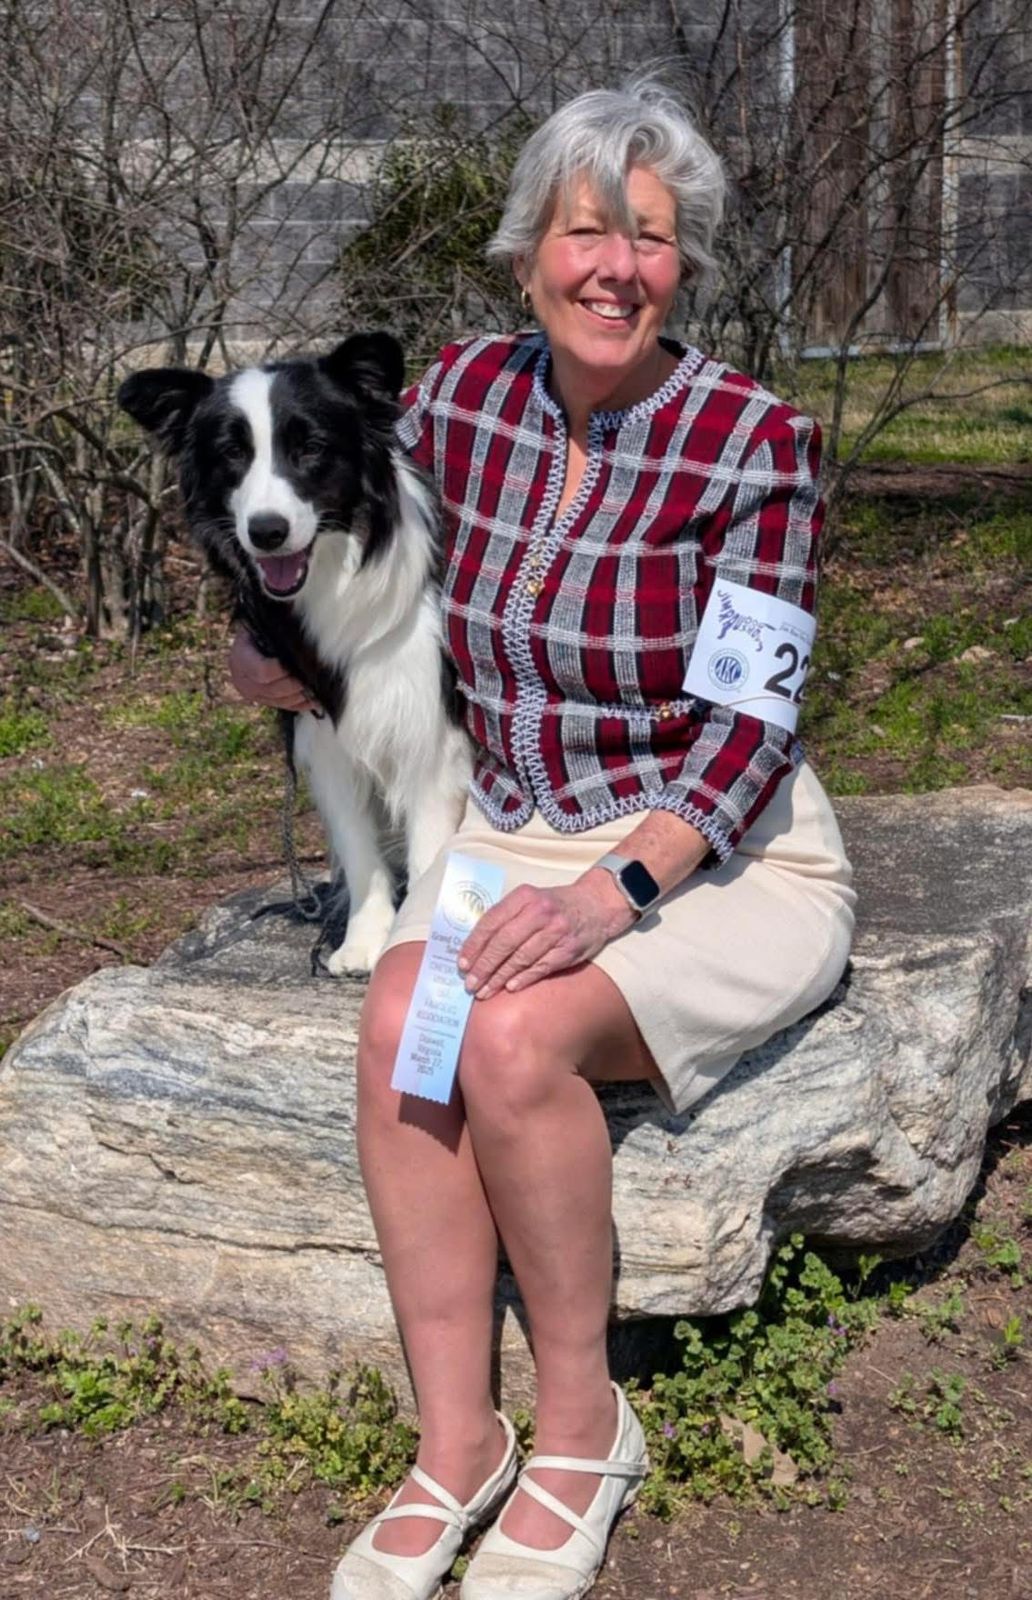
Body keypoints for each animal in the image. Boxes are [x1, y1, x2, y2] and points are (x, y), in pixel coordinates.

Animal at [118, 332, 471, 975]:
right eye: (232, 454)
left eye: (310, 447)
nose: (267, 532)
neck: (339, 574)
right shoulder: (325, 737)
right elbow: (359, 850)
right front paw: (363, 943)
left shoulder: (430, 740)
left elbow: (429, 851)